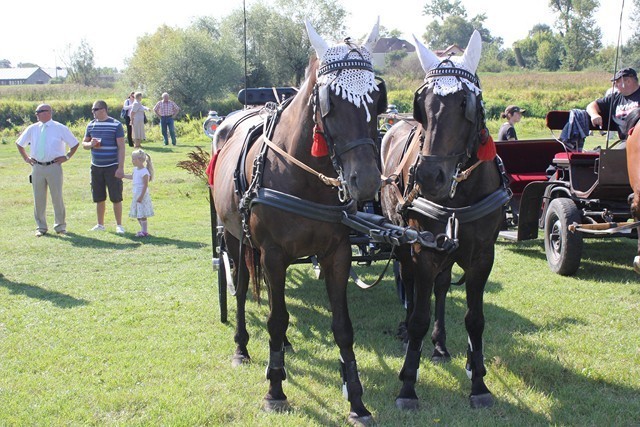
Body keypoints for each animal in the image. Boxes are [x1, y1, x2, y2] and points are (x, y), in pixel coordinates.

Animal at [212, 20, 384, 424]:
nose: (367, 180)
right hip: (234, 236)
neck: (302, 176)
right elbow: (274, 318)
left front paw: (356, 400)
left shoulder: (338, 254)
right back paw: (242, 347)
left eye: (377, 98)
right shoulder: (273, 253)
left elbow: (342, 327)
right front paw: (275, 389)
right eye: (329, 101)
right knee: (241, 288)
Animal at [380, 31, 510, 410]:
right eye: (422, 104)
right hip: (405, 241)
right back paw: (409, 332)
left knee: (439, 288)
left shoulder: (482, 257)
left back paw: (439, 345)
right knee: (410, 284)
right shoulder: (423, 252)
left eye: (467, 104)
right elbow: (419, 316)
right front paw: (408, 386)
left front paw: (479, 382)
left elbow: (475, 319)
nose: (429, 176)